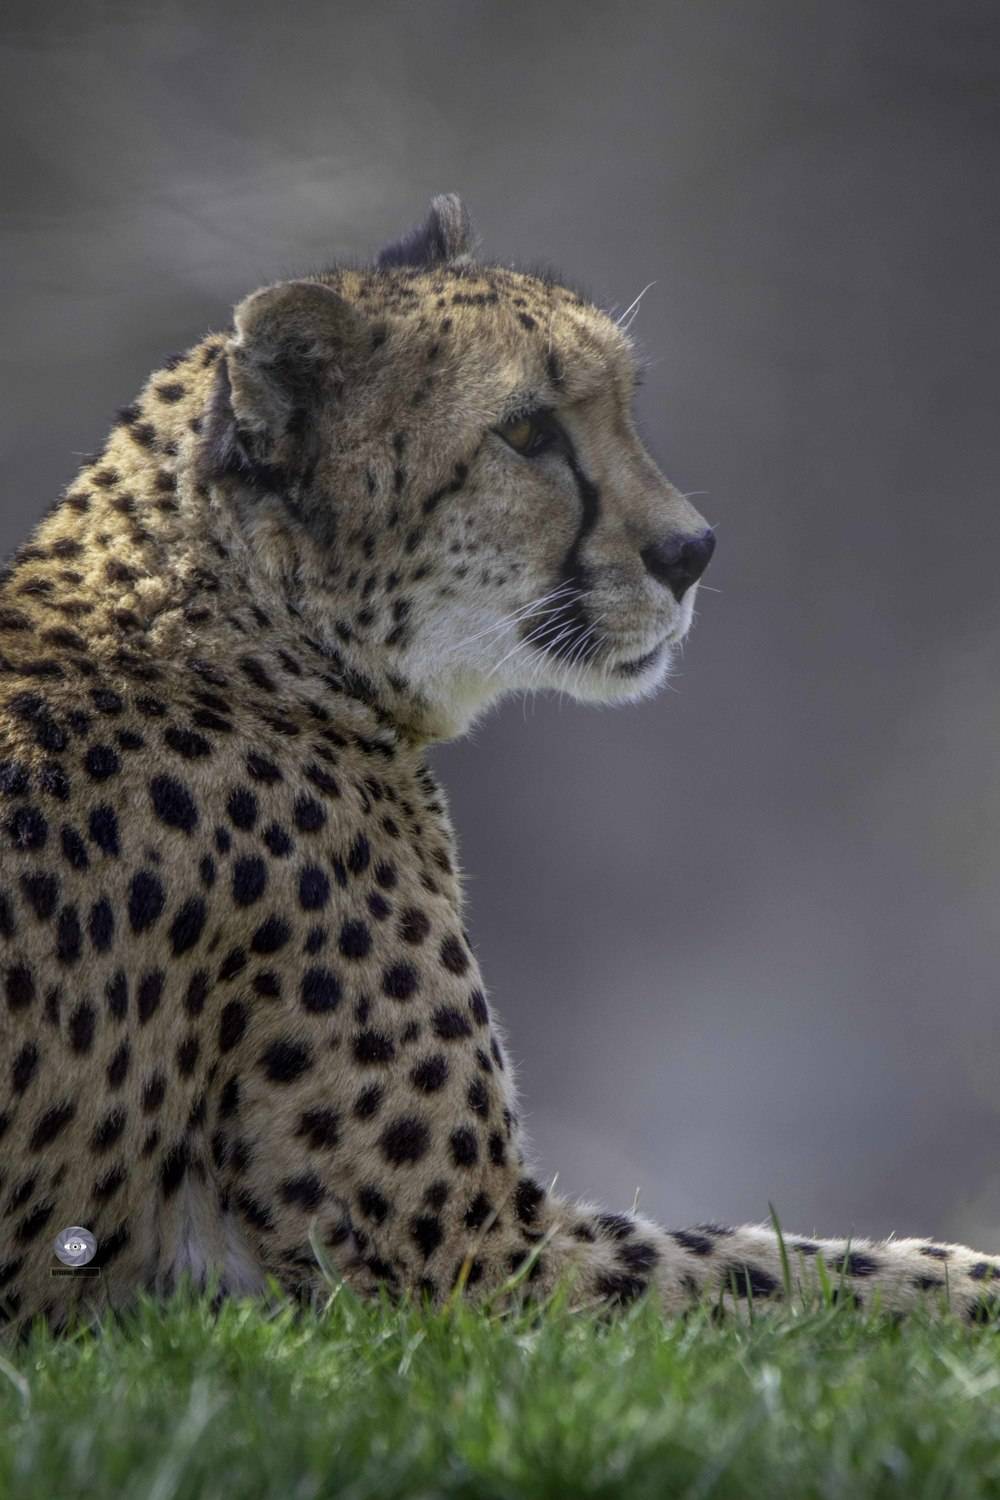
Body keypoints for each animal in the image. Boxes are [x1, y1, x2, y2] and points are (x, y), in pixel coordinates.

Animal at [1, 193, 997, 1341]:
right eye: (527, 433)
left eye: (622, 405)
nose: (692, 551)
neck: (230, 628)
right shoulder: (462, 1259)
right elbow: (801, 1267)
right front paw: (972, 1280)